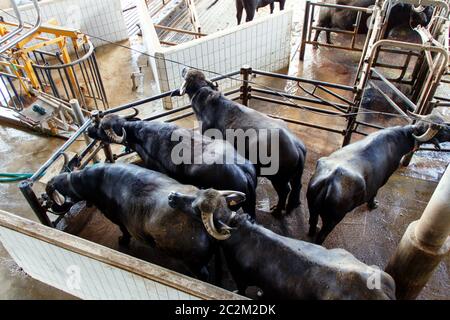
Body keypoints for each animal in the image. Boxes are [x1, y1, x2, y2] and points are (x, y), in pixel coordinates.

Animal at [169, 189, 398, 298]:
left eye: (196, 208)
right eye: (198, 192)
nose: (173, 195)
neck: (238, 232)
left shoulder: (240, 277)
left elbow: (241, 289)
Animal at [178, 68, 308, 216]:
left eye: (188, 74)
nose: (184, 68)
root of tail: (296, 146)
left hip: (278, 178)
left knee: (285, 190)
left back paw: (276, 210)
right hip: (296, 174)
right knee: (297, 186)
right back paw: (293, 205)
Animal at [308, 115, 448, 245]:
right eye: (442, 129)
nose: (449, 127)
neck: (401, 138)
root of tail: (329, 180)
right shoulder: (383, 179)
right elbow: (374, 193)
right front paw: (373, 204)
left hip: (312, 208)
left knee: (312, 223)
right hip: (333, 219)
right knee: (322, 235)